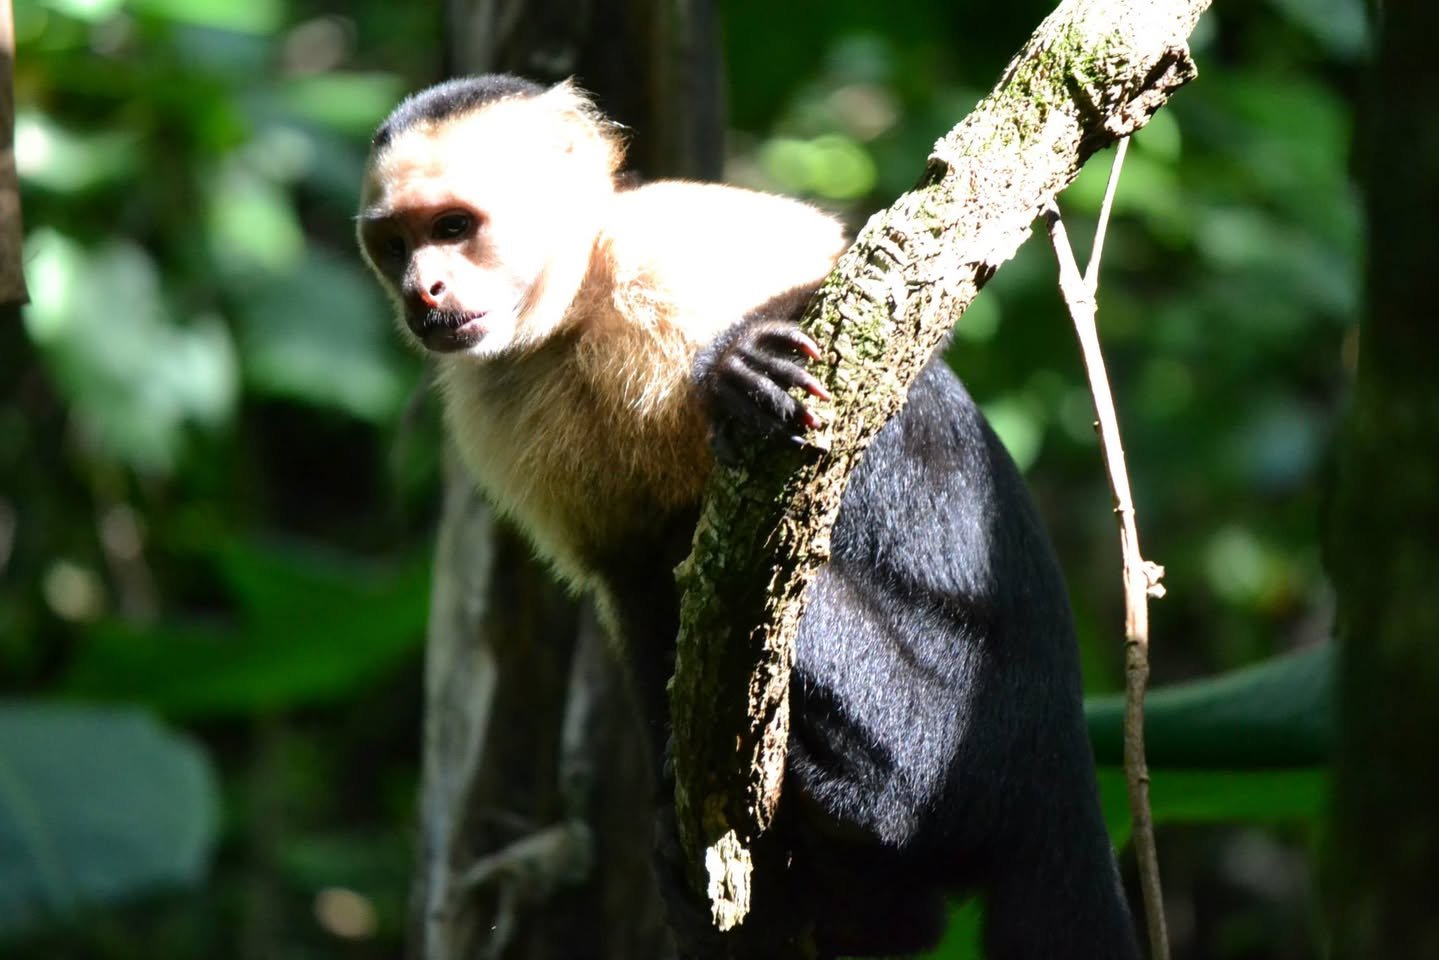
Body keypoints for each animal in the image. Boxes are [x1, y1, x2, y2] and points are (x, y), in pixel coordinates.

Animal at [358, 74, 1139, 959]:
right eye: (395, 244)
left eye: (454, 227)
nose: (422, 290)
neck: (576, 309)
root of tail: (1062, 757)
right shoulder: (493, 411)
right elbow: (629, 580)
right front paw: (670, 818)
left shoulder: (670, 248)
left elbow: (882, 307)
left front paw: (732, 372)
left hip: (960, 734)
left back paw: (869, 797)